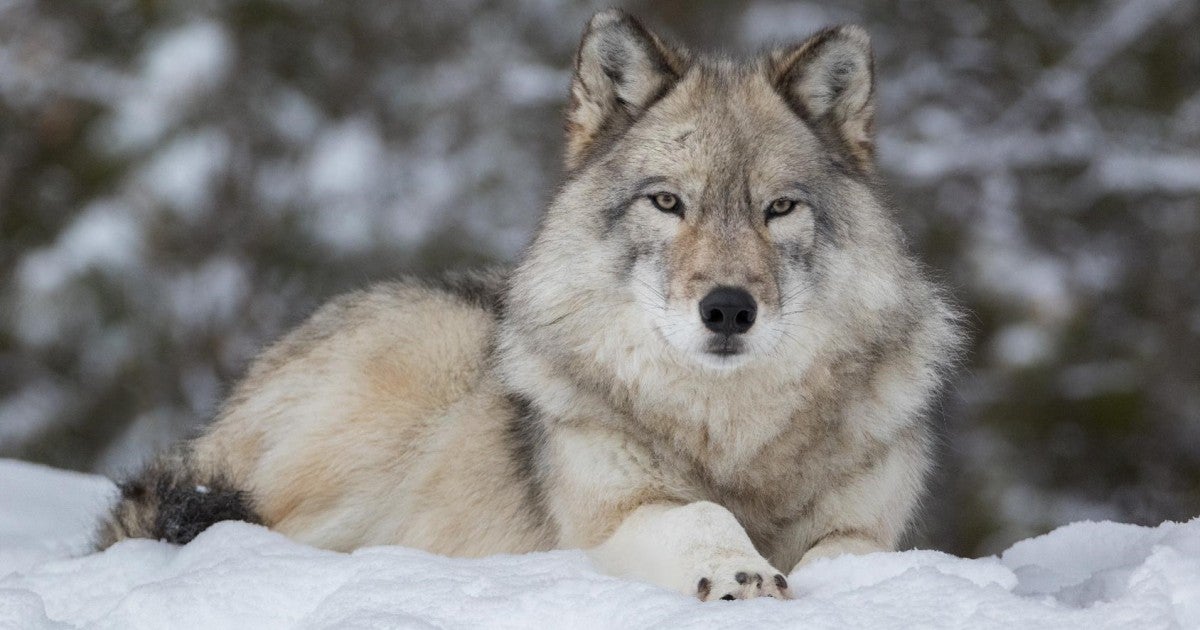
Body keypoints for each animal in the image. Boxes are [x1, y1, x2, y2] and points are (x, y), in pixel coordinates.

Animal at [97, 10, 962, 601]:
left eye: (778, 209)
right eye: (668, 203)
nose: (727, 309)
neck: (733, 436)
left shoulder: (868, 526)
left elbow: (856, 553)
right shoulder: (614, 515)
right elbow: (700, 517)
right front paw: (738, 572)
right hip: (414, 376)